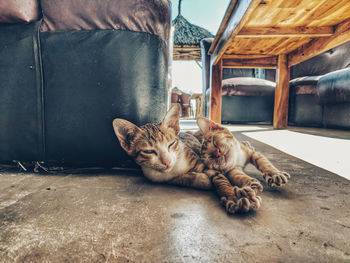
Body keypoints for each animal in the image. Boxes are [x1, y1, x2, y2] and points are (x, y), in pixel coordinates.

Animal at [112, 104, 260, 214]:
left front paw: (232, 196)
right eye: (149, 151)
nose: (167, 162)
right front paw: (203, 181)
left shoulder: (201, 161)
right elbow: (187, 179)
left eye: (171, 144)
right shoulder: (161, 177)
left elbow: (219, 177)